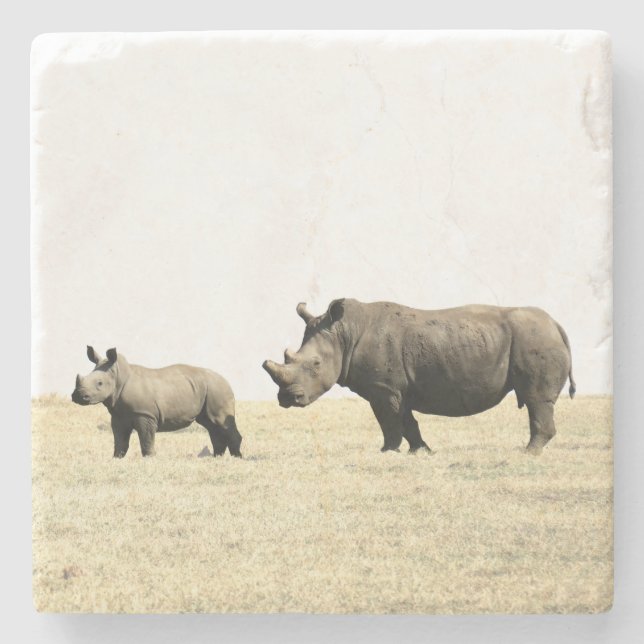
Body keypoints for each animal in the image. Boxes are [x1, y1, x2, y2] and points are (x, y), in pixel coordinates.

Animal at [72, 347, 242, 458]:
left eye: (99, 383)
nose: (78, 396)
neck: (118, 376)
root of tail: (226, 380)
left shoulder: (145, 414)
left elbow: (146, 439)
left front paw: (149, 458)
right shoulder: (119, 415)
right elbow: (120, 440)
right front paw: (117, 458)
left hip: (217, 389)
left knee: (220, 421)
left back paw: (236, 457)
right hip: (208, 389)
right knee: (211, 424)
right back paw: (217, 457)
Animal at [262, 299, 576, 455]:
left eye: (315, 364)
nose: (287, 398)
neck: (345, 333)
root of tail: (557, 324)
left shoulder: (382, 388)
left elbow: (389, 421)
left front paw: (387, 452)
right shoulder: (396, 388)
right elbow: (406, 420)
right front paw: (421, 451)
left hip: (535, 338)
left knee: (536, 399)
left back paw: (528, 452)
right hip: (536, 337)